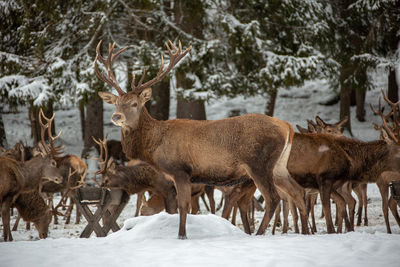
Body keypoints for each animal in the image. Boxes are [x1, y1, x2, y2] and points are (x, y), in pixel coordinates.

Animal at [94, 39, 312, 239]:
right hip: (279, 166)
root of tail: (287, 127)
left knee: (273, 198)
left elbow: (183, 206)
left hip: (259, 163)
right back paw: (306, 232)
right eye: (116, 103)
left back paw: (259, 234)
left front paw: (182, 236)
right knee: (298, 191)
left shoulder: (180, 170)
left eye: (134, 103)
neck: (154, 146)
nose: (116, 117)